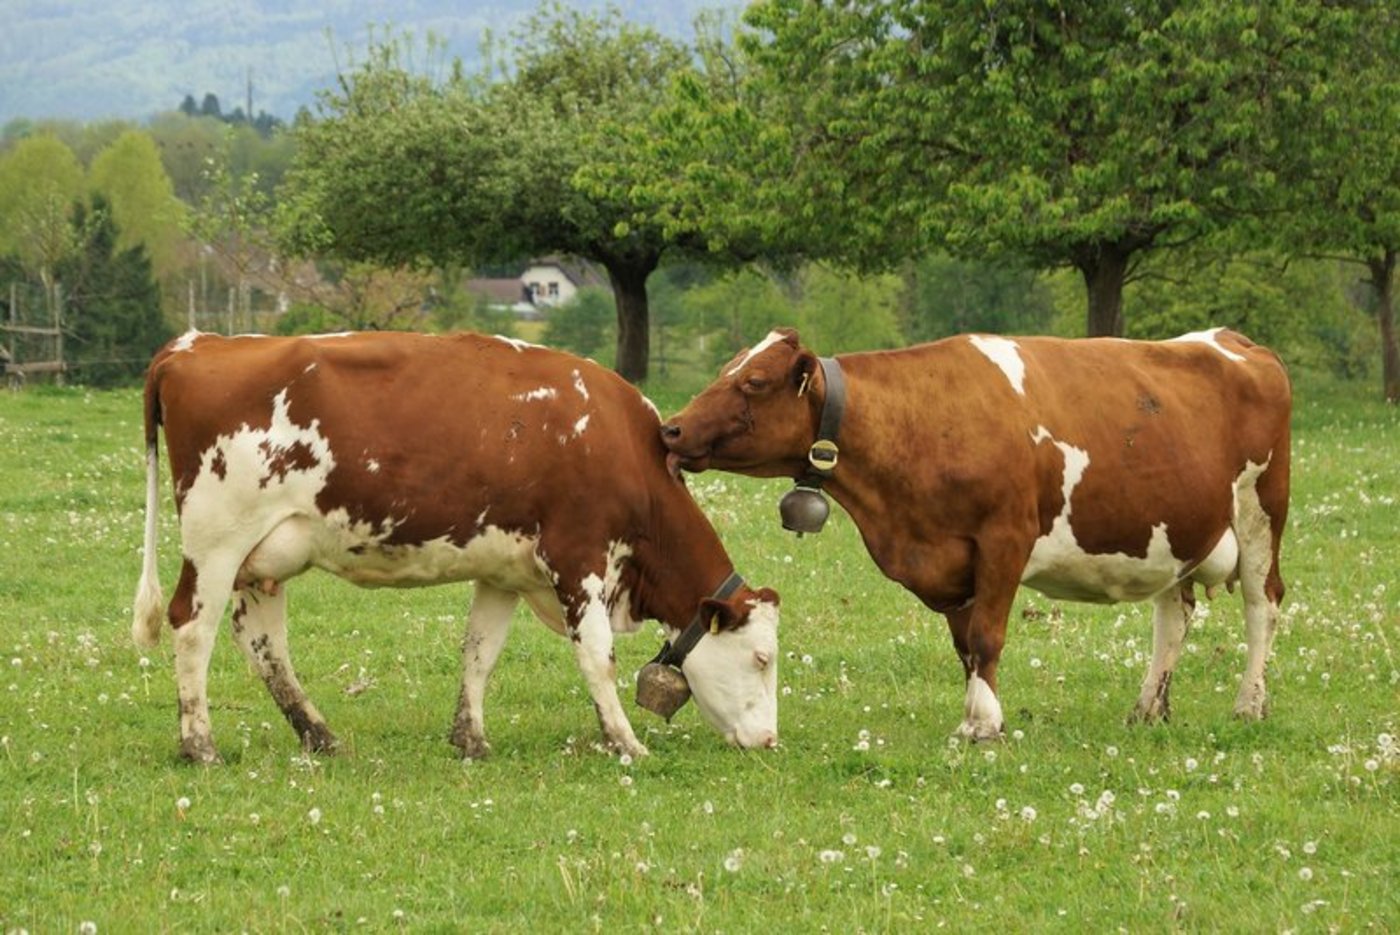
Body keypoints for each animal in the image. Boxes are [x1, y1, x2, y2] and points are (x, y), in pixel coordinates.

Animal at [131, 330, 780, 763]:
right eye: (761, 658)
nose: (770, 740)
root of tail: (195, 344)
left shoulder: (503, 571)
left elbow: (479, 651)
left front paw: (470, 738)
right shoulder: (581, 558)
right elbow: (597, 656)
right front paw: (624, 741)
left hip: (264, 556)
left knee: (263, 643)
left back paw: (318, 734)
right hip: (217, 541)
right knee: (192, 627)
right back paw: (200, 744)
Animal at [661, 327, 1290, 740]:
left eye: (754, 381)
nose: (671, 429)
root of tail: (1232, 339)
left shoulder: (1004, 539)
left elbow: (987, 637)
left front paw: (983, 724)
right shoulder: (946, 559)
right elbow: (965, 646)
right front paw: (976, 710)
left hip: (1262, 511)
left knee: (1263, 604)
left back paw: (1249, 705)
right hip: (1171, 531)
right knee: (1174, 614)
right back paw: (1148, 709)